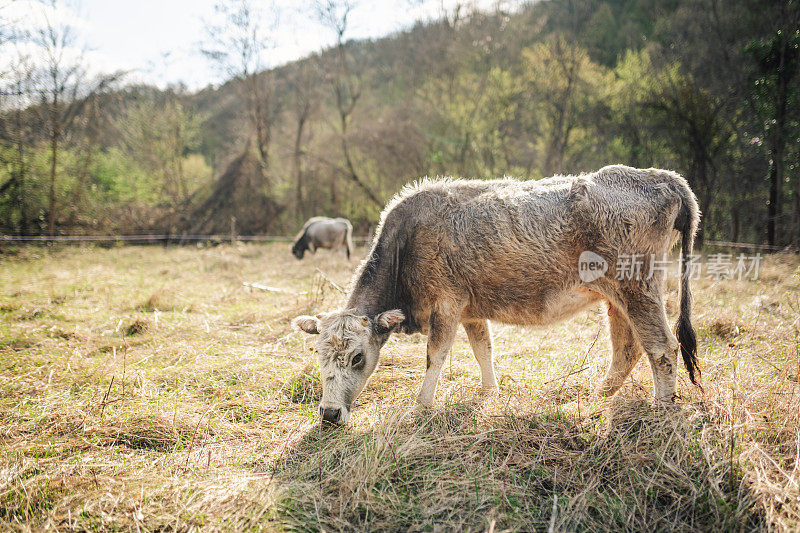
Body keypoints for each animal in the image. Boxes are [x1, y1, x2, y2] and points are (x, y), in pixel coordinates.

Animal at [294, 166, 700, 424]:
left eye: (358, 358)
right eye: (317, 355)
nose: (329, 414)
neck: (405, 242)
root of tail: (664, 177)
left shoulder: (446, 305)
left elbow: (435, 356)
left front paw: (421, 406)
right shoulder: (471, 310)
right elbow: (483, 349)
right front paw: (490, 392)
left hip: (638, 288)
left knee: (662, 347)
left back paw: (663, 408)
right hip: (616, 298)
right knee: (627, 349)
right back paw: (597, 397)